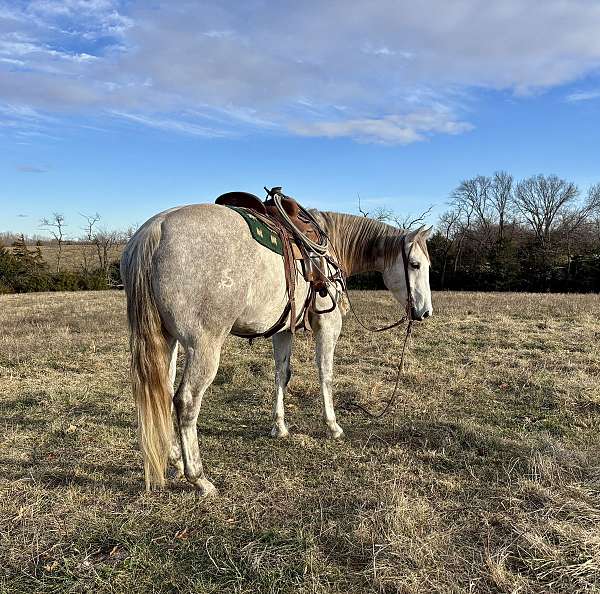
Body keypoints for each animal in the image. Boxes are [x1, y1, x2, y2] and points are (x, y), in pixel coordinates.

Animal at [122, 204, 432, 490]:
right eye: (415, 264)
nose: (425, 312)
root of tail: (157, 228)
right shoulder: (328, 324)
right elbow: (325, 374)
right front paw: (332, 426)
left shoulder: (282, 331)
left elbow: (281, 375)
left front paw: (279, 427)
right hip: (203, 347)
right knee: (186, 401)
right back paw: (198, 478)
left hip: (168, 340)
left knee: (163, 392)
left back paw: (175, 459)